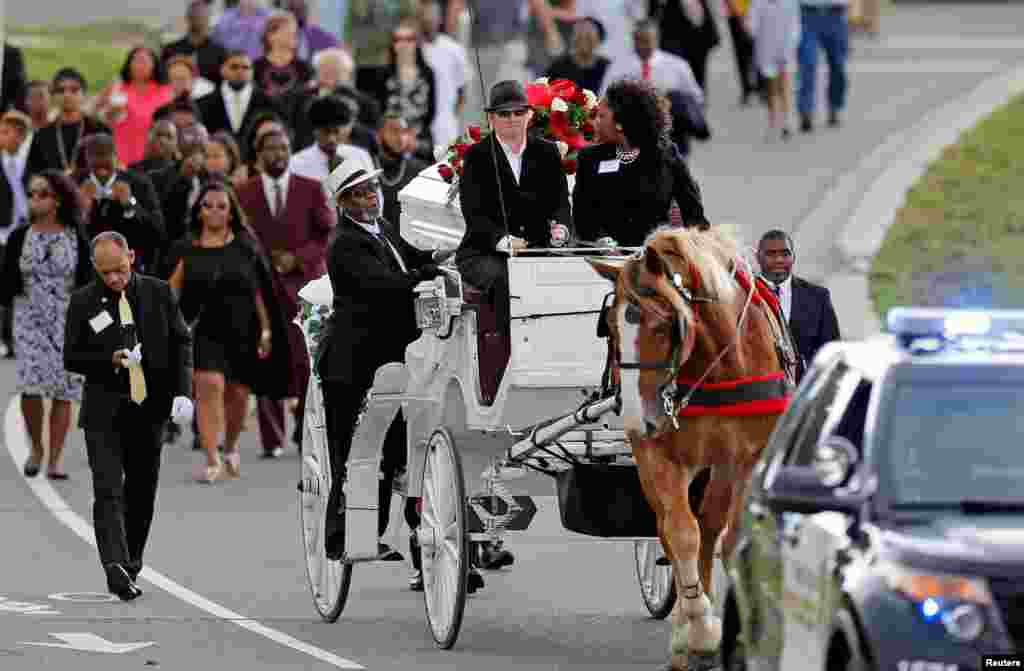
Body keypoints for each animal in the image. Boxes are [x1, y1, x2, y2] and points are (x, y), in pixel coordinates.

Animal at [589, 227, 794, 671]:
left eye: (666, 324)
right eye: (610, 326)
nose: (635, 418)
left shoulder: (746, 457)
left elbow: (730, 539)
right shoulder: (658, 455)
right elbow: (681, 533)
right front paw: (698, 629)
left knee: (713, 525)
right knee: (674, 528)